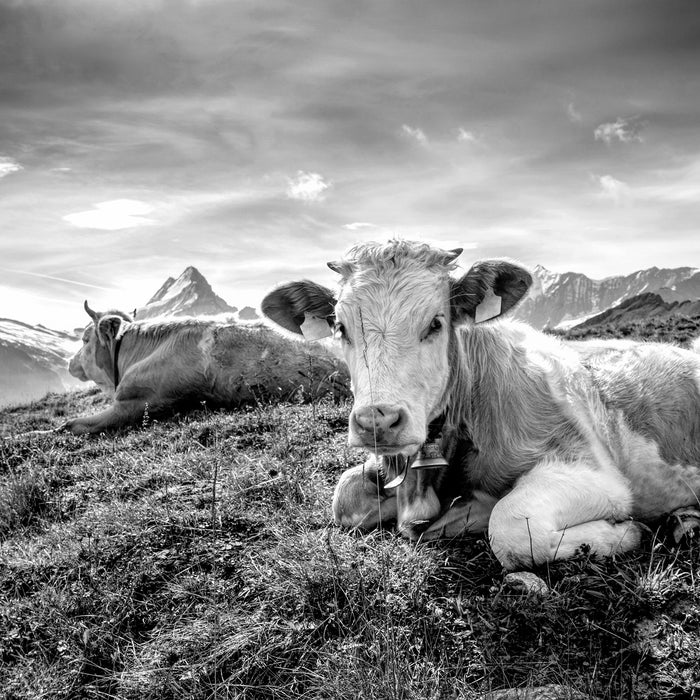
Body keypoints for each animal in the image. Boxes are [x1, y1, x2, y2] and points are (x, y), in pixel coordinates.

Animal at [262, 239, 700, 568]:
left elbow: (510, 526)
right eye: (340, 326)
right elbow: (345, 496)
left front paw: (624, 532)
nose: (378, 422)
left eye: (436, 323)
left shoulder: (594, 471)